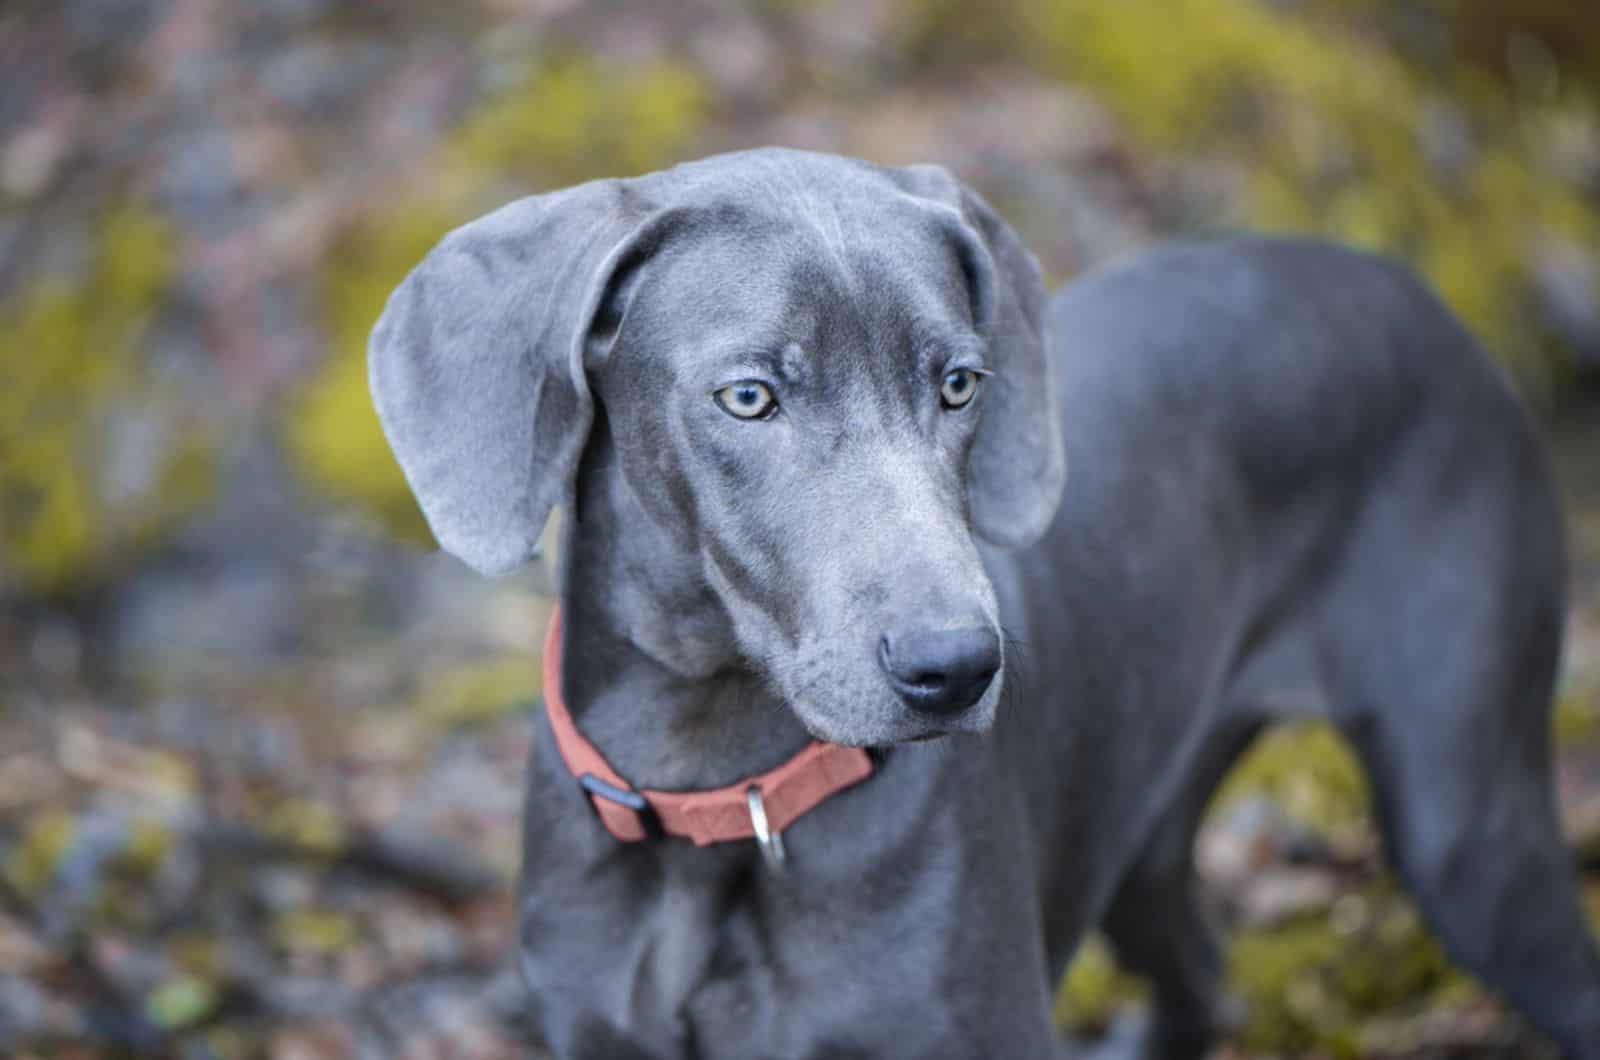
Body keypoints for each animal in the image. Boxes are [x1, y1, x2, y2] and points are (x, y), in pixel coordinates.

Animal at [366, 145, 1600, 1056]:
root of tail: (1423, 295)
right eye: (749, 397)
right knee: (1198, 974)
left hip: (1466, 823)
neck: (712, 777)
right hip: (1146, 833)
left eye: (959, 383)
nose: (955, 667)